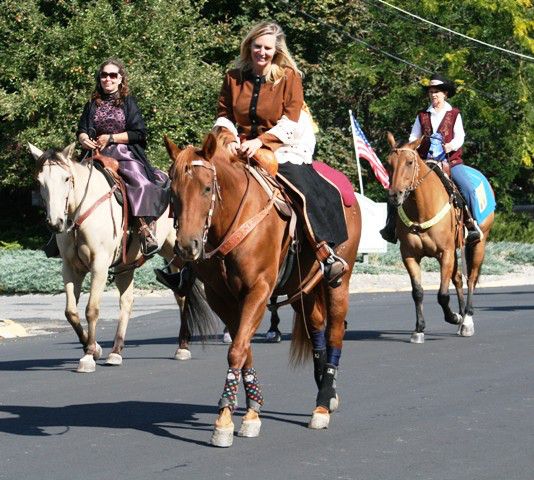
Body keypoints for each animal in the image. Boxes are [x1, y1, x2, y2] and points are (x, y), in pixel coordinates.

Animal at [30, 141, 215, 374]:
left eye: (66, 178)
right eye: (39, 181)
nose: (56, 223)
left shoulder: (99, 265)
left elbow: (91, 310)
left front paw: (88, 356)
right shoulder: (71, 268)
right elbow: (70, 312)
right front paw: (95, 348)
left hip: (176, 251)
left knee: (182, 296)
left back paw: (182, 346)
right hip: (124, 266)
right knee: (127, 302)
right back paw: (116, 352)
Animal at [165, 133, 362, 448]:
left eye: (207, 188)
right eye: (173, 191)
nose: (186, 246)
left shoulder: (257, 290)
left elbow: (237, 350)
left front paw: (225, 419)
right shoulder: (222, 298)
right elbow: (243, 348)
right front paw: (251, 410)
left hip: (338, 284)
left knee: (334, 333)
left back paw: (321, 404)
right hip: (303, 290)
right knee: (317, 329)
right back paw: (327, 390)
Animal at [388, 133, 496, 344]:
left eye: (409, 162)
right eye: (388, 163)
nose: (395, 195)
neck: (422, 209)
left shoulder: (444, 253)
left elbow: (442, 294)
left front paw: (454, 317)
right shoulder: (409, 255)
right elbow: (418, 292)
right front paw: (419, 329)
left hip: (478, 243)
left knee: (471, 279)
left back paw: (466, 320)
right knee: (458, 279)